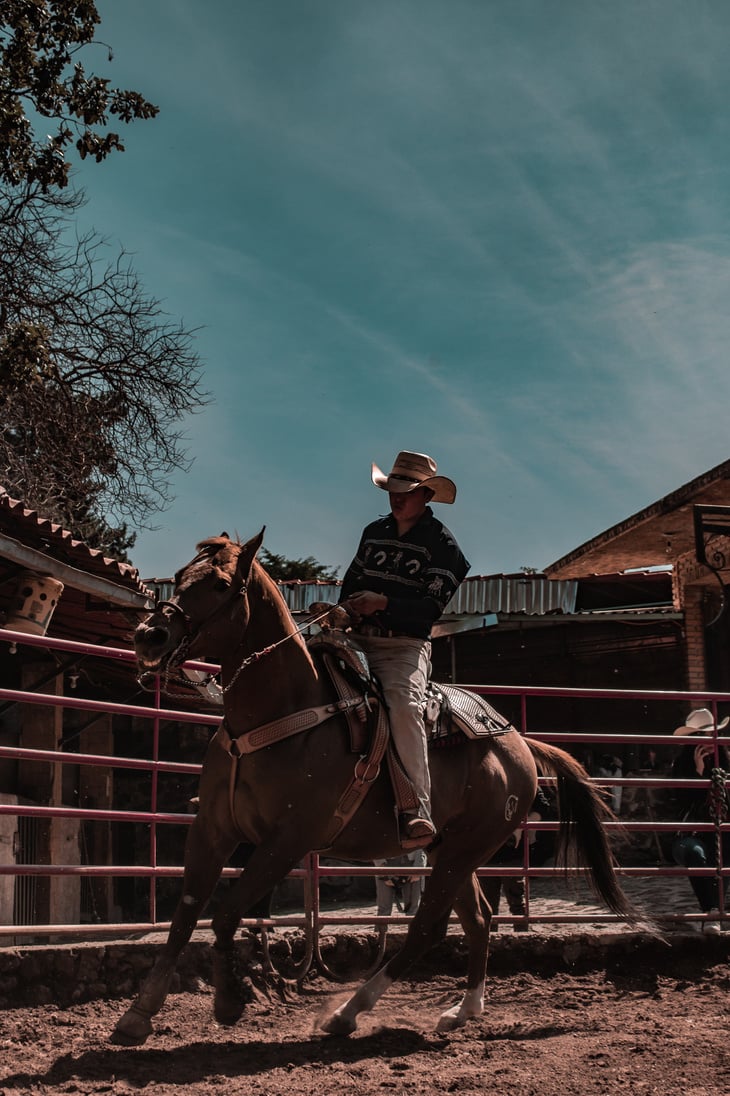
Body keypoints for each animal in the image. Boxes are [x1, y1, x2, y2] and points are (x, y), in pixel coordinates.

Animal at [110, 530, 640, 1043]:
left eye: (221, 585)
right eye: (180, 574)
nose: (149, 636)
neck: (275, 714)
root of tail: (520, 743)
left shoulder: (286, 841)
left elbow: (223, 915)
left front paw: (229, 1000)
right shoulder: (212, 830)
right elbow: (185, 918)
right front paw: (138, 1014)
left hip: (464, 850)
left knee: (428, 927)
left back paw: (349, 1012)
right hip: (453, 850)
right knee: (478, 919)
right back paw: (462, 1011)